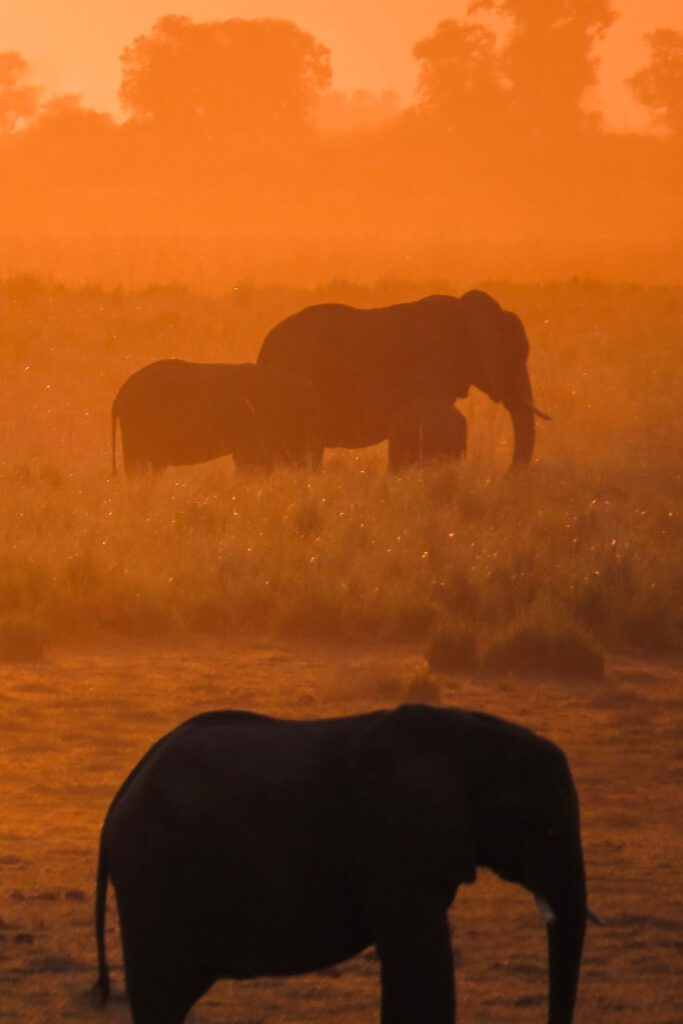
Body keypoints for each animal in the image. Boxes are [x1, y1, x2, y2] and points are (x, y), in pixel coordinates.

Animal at [92, 704, 593, 1024]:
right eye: (537, 823)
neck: (469, 735)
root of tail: (118, 801)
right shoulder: (389, 843)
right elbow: (422, 961)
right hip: (152, 884)